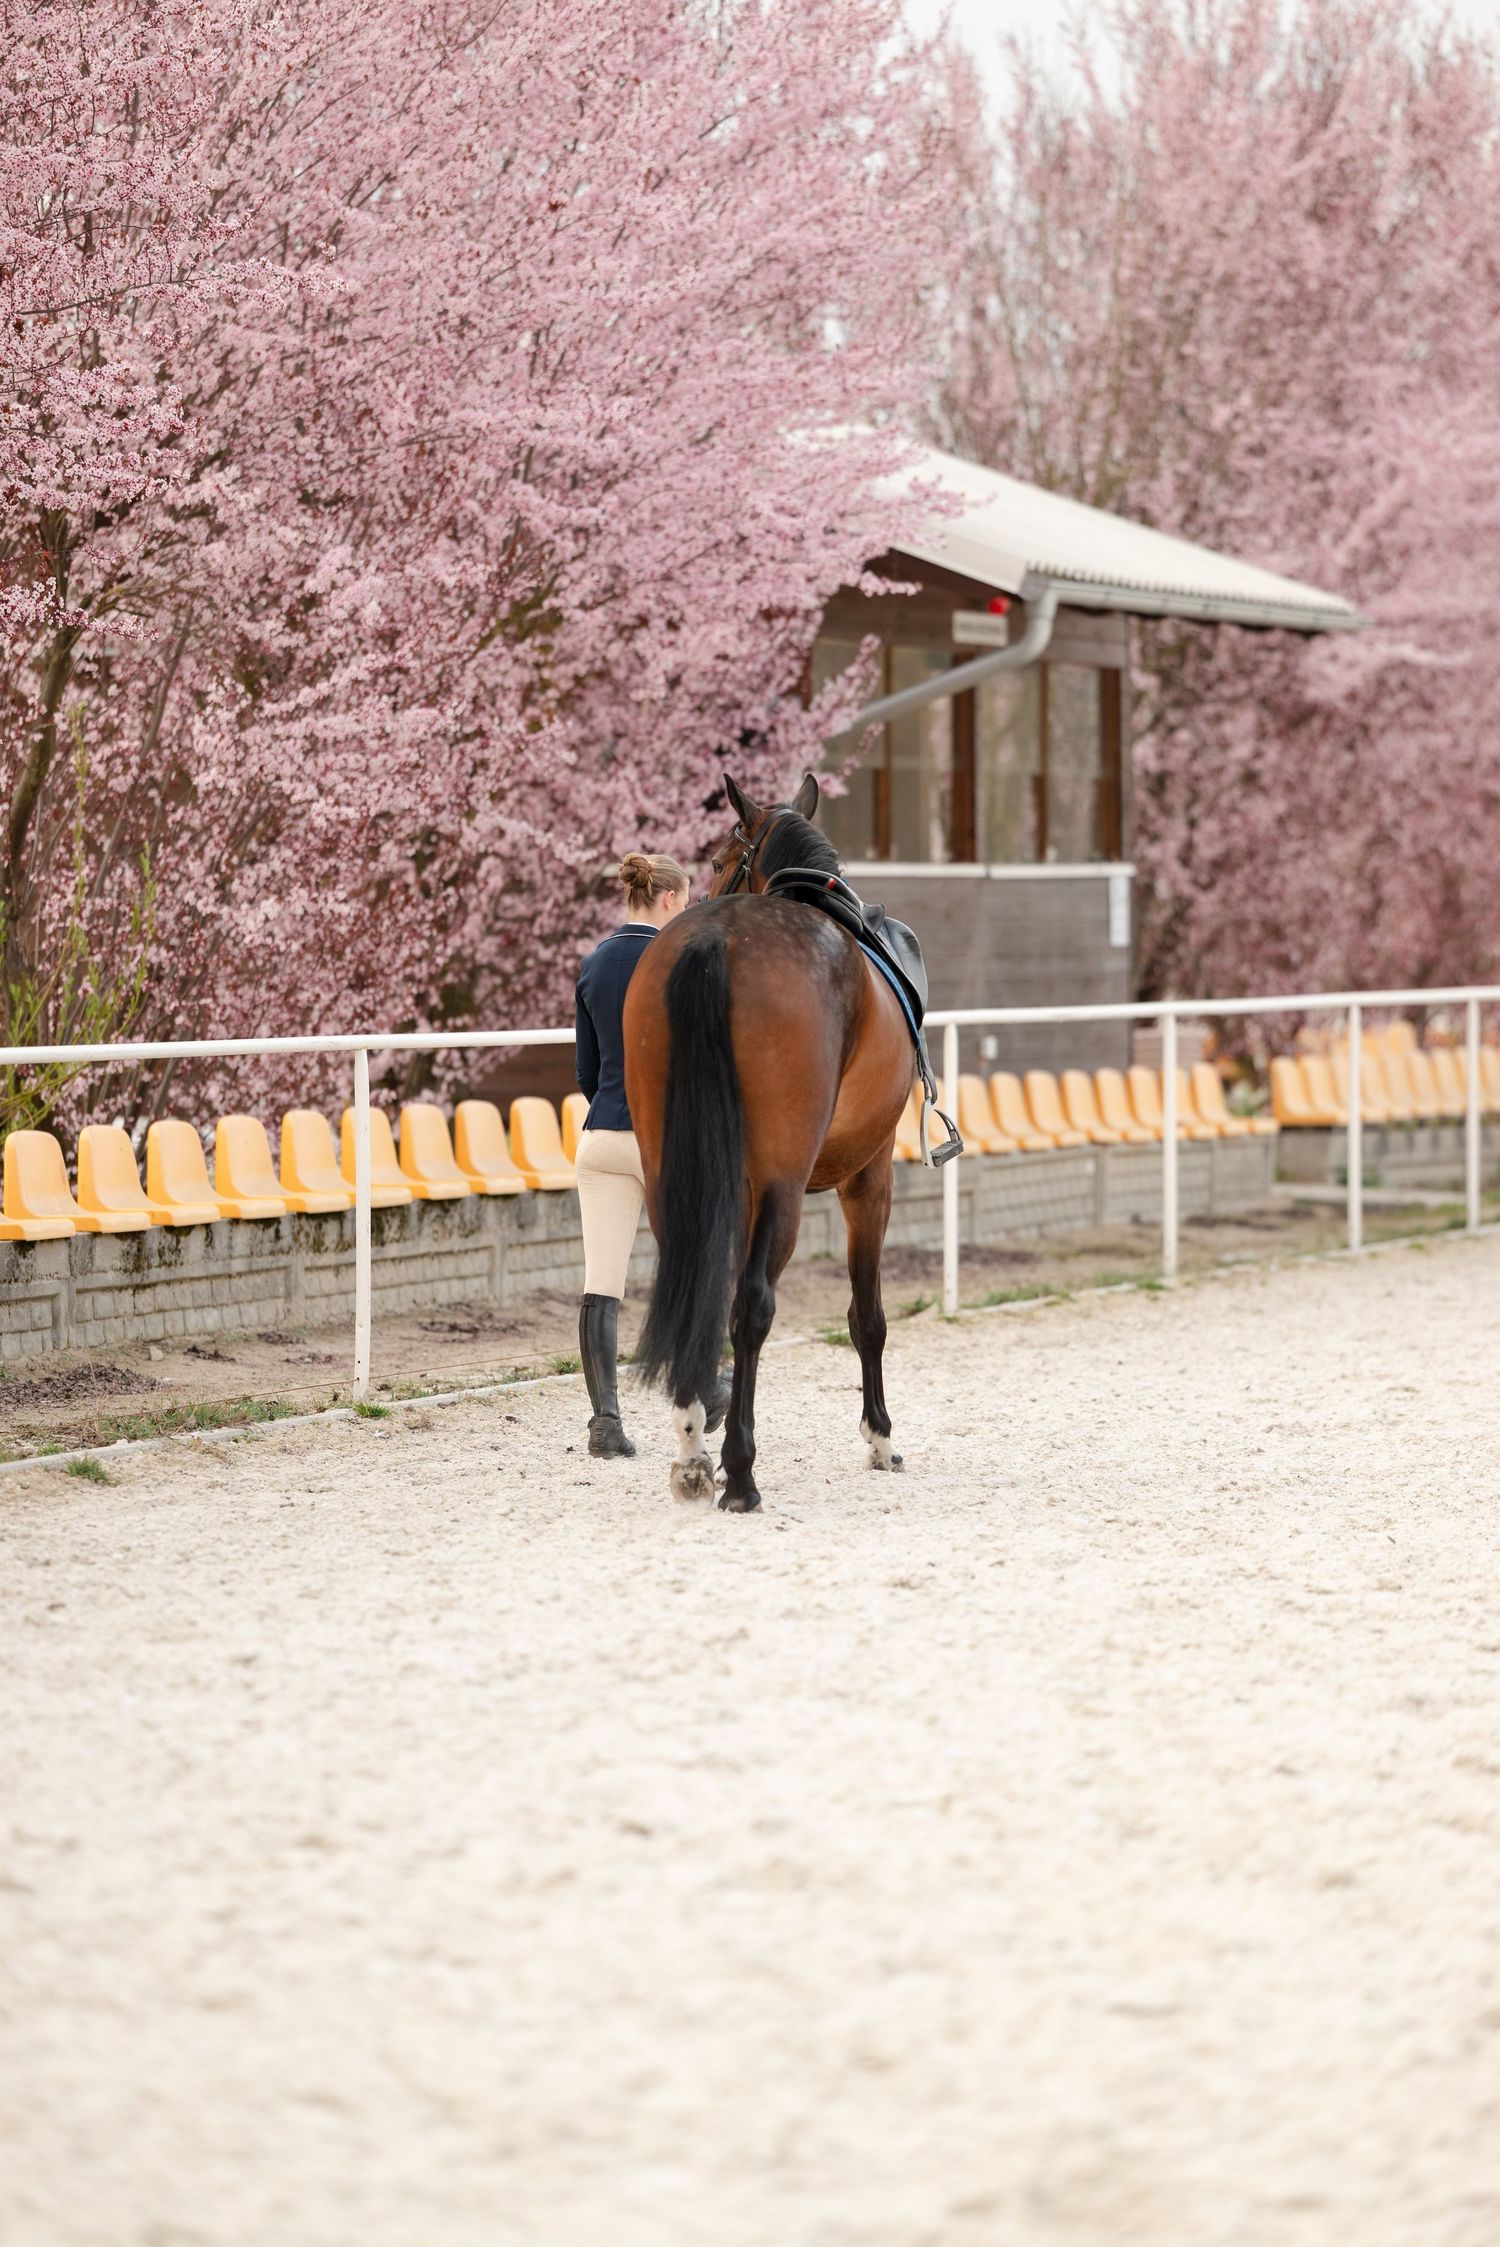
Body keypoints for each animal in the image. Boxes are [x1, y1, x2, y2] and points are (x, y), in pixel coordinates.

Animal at [622, 770, 916, 1512]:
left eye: (720, 860)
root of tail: (718, 939)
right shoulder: (869, 1177)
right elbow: (867, 1315)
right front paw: (879, 1437)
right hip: (786, 1181)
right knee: (752, 1302)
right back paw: (741, 1473)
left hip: (668, 1170)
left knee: (693, 1286)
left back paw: (693, 1448)